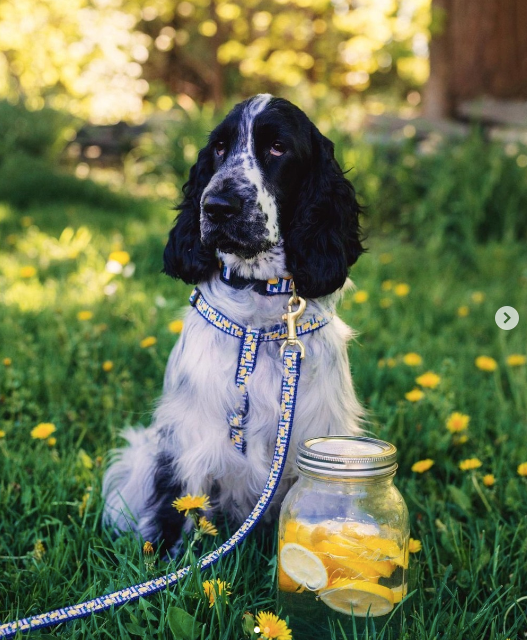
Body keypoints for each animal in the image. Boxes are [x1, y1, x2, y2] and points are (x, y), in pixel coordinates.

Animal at [103, 92, 368, 552]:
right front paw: (167, 562)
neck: (258, 307)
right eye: (220, 149)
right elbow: (178, 512)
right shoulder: (188, 439)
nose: (217, 207)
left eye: (277, 147)